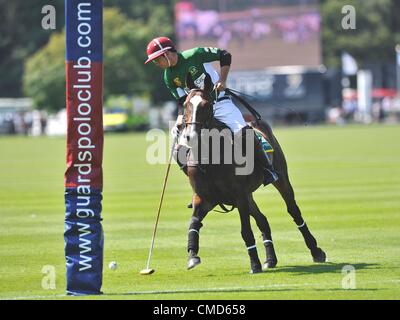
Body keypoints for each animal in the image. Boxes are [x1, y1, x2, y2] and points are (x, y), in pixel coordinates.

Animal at [178, 74, 324, 274]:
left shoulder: (238, 195)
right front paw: (192, 256)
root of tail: (255, 122)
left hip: (280, 179)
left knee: (293, 210)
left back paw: (316, 251)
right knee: (263, 220)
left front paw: (254, 264)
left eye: (206, 105)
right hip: (248, 196)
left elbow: (245, 230)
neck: (211, 158)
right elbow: (193, 224)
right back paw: (270, 259)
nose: (190, 136)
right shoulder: (205, 198)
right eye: (185, 104)